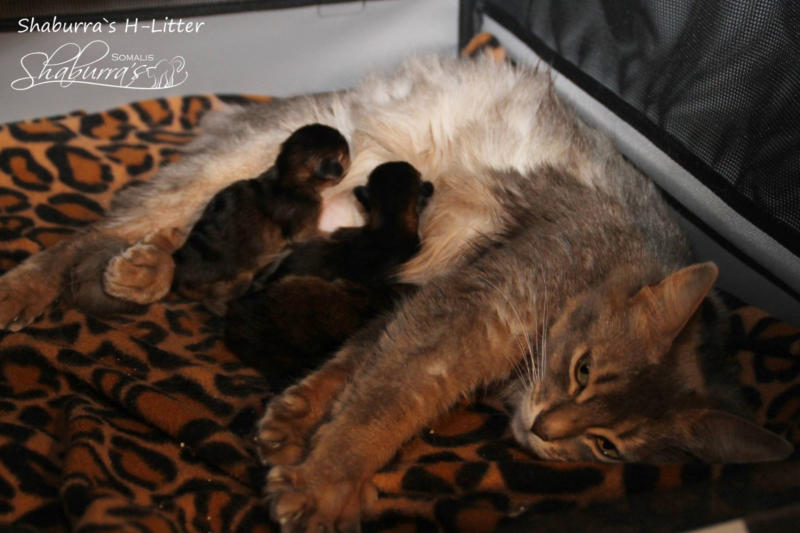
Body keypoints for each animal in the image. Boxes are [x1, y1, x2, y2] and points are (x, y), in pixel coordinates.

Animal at [172, 123, 349, 315]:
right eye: (345, 155)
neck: (288, 179)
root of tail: (182, 280)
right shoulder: (305, 222)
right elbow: (312, 235)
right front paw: (330, 235)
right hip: (240, 278)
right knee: (211, 300)